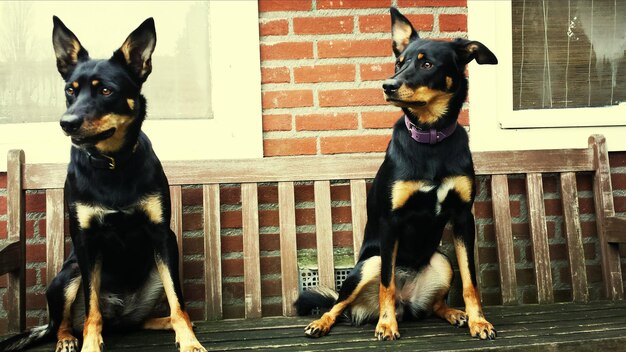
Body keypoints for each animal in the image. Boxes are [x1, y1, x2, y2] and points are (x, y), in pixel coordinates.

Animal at [0, 17, 205, 352]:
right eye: (70, 91)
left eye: (107, 90)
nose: (66, 123)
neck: (112, 164)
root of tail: (118, 316)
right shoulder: (85, 241)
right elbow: (91, 307)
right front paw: (90, 345)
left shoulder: (162, 235)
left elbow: (178, 301)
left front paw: (189, 341)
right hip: (68, 274)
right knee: (65, 321)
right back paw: (67, 339)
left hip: (154, 269)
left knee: (140, 320)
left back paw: (164, 323)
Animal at [296, 7, 498, 340]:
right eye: (399, 63)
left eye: (427, 64)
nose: (388, 85)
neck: (431, 138)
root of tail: (408, 304)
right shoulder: (391, 221)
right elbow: (387, 284)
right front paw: (386, 325)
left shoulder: (462, 217)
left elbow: (471, 282)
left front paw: (478, 321)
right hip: (370, 263)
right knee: (340, 303)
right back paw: (325, 322)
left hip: (442, 260)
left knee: (434, 305)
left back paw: (454, 314)